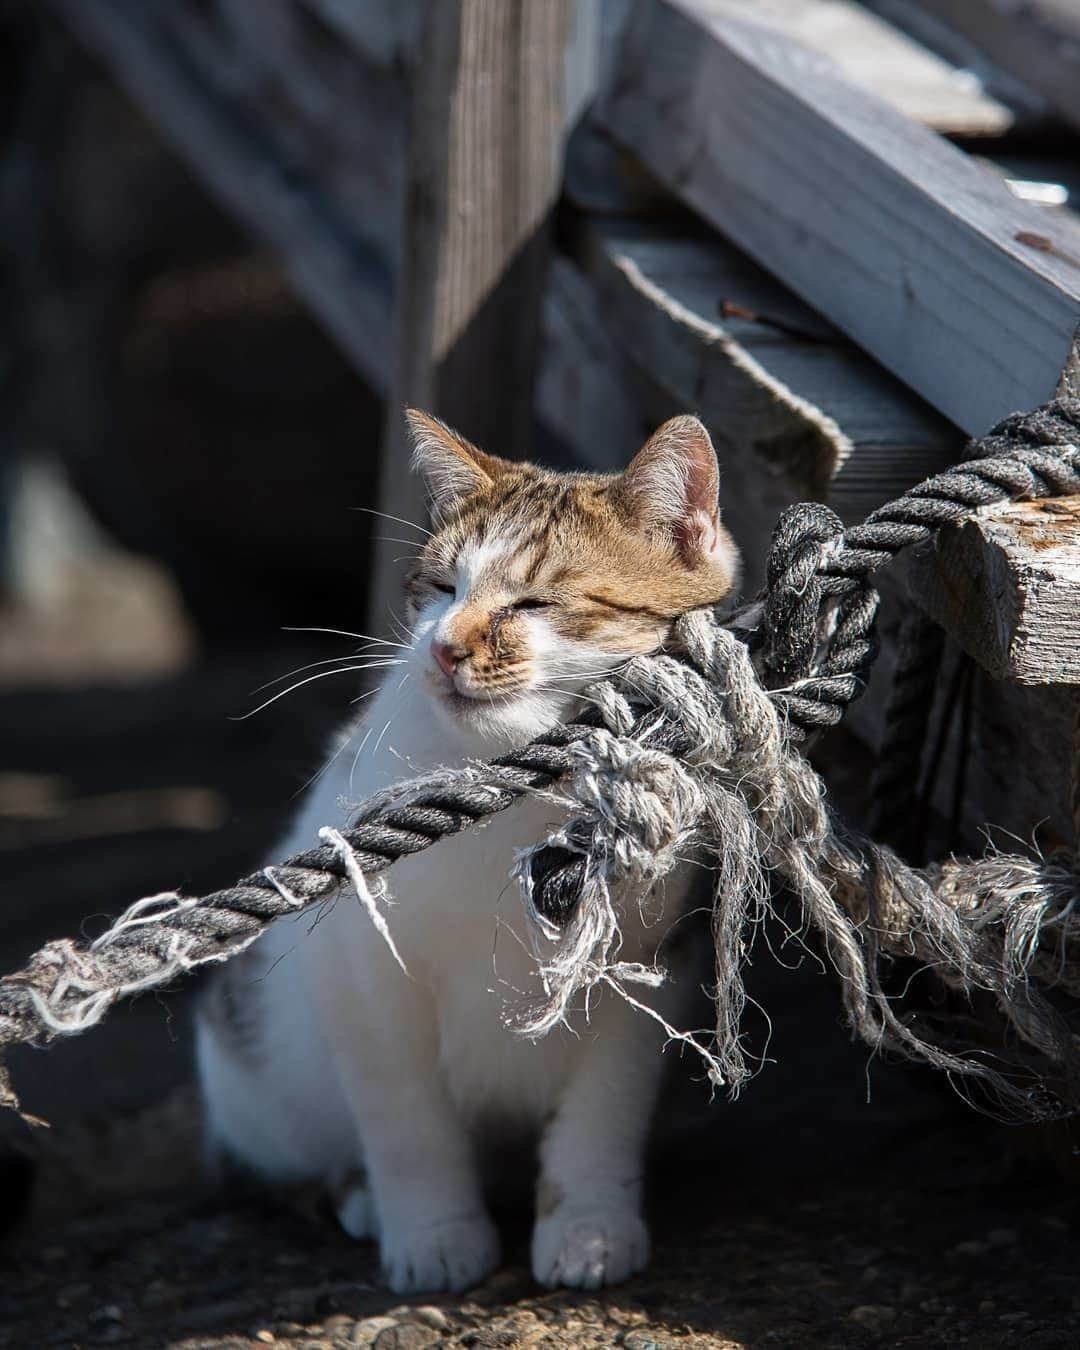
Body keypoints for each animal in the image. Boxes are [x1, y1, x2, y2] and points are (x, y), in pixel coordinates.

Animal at [194, 405, 739, 1290]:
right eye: (442, 587)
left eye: (538, 601)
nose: (446, 646)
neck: (514, 803)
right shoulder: (358, 966)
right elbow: (405, 1119)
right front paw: (433, 1233)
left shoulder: (653, 959)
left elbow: (605, 1108)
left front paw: (588, 1224)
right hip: (256, 1078)